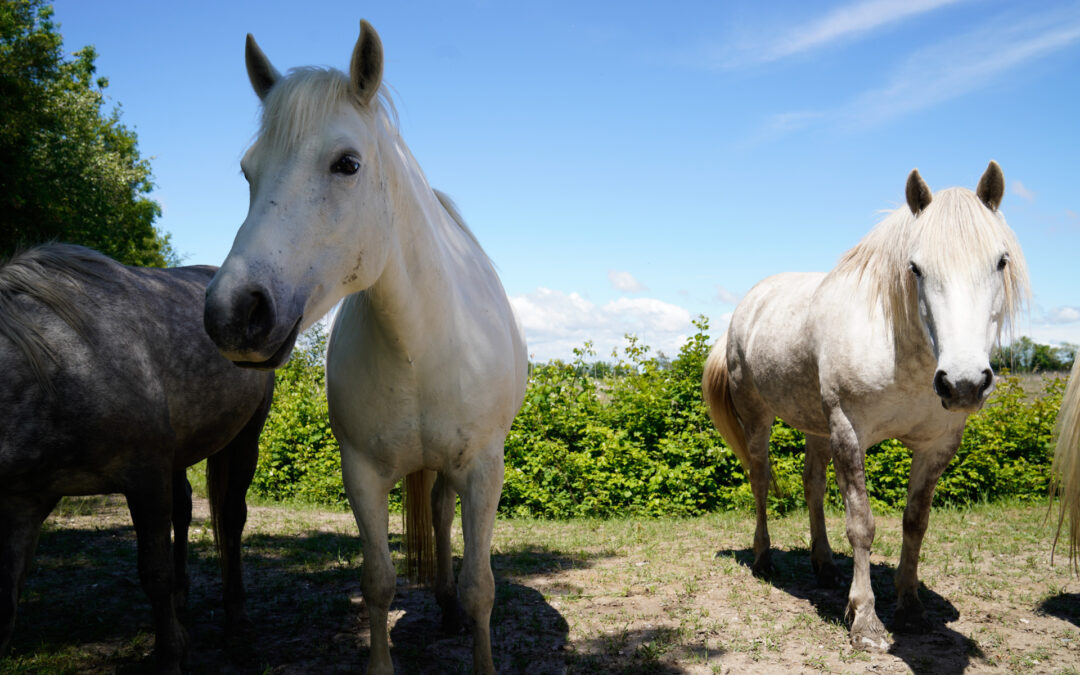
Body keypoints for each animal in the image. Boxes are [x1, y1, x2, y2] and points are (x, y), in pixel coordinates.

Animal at [0, 241, 274, 669]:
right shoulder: (22, 500)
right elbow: (5, 606)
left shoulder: (145, 476)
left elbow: (154, 573)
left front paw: (169, 655)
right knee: (184, 509)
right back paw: (183, 601)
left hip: (245, 438)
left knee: (231, 520)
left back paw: (237, 619)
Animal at [203, 21, 527, 673]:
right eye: (248, 172)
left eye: (347, 163)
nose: (232, 314)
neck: (421, 344)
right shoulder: (362, 474)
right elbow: (377, 582)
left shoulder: (484, 469)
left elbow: (482, 586)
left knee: (444, 518)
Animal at [704, 160, 1023, 652]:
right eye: (915, 267)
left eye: (1001, 260)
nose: (964, 383)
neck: (900, 351)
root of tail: (745, 308)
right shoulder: (849, 433)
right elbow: (862, 524)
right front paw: (866, 620)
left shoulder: (937, 445)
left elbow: (915, 522)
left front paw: (910, 607)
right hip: (759, 418)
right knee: (759, 480)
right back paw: (763, 559)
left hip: (816, 426)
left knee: (812, 486)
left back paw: (824, 566)